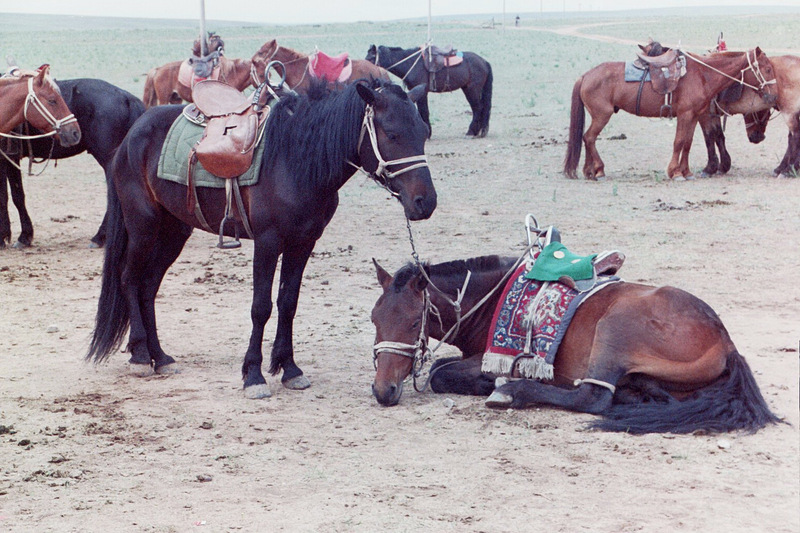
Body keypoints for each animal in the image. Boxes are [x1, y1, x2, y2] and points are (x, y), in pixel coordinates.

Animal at [0, 78, 145, 248]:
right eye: (52, 100)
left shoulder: (8, 159)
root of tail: (127, 98)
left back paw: (99, 237)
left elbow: (12, 197)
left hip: (108, 161)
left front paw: (19, 236)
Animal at [87, 78, 437, 401]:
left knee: (148, 287)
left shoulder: (303, 243)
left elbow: (288, 302)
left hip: (174, 231)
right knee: (130, 278)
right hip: (143, 226)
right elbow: (261, 307)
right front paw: (253, 375)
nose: (426, 202)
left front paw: (289, 368)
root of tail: (133, 133)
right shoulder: (268, 243)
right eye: (392, 133)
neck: (296, 160)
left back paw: (160, 357)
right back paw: (140, 355)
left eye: (423, 132)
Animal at [142, 40, 273, 108]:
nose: (270, 93)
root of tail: (158, 69)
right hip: (163, 99)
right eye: (261, 75)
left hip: (175, 99)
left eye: (270, 75)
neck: (232, 74)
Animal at [370, 255, 782, 434]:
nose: (382, 390)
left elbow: (441, 373)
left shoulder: (493, 358)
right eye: (374, 319)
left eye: (413, 322)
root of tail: (725, 340)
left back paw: (512, 391)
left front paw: (494, 383)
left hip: (614, 329)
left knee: (593, 398)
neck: (494, 296)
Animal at [564, 48, 778, 180]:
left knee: (587, 138)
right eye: (767, 68)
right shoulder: (685, 114)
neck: (703, 74)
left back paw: (589, 171)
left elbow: (688, 143)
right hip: (602, 115)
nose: (773, 95)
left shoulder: (694, 115)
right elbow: (680, 142)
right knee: (589, 137)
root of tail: (585, 76)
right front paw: (675, 172)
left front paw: (687, 171)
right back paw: (598, 170)